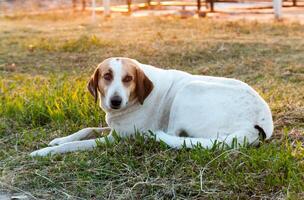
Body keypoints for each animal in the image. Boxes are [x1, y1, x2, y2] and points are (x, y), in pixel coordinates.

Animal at [30, 57, 274, 157]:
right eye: (107, 76)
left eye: (128, 78)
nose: (115, 102)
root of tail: (256, 126)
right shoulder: (114, 127)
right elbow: (86, 129)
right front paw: (59, 139)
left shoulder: (115, 138)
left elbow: (76, 145)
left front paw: (44, 152)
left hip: (188, 90)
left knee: (174, 135)